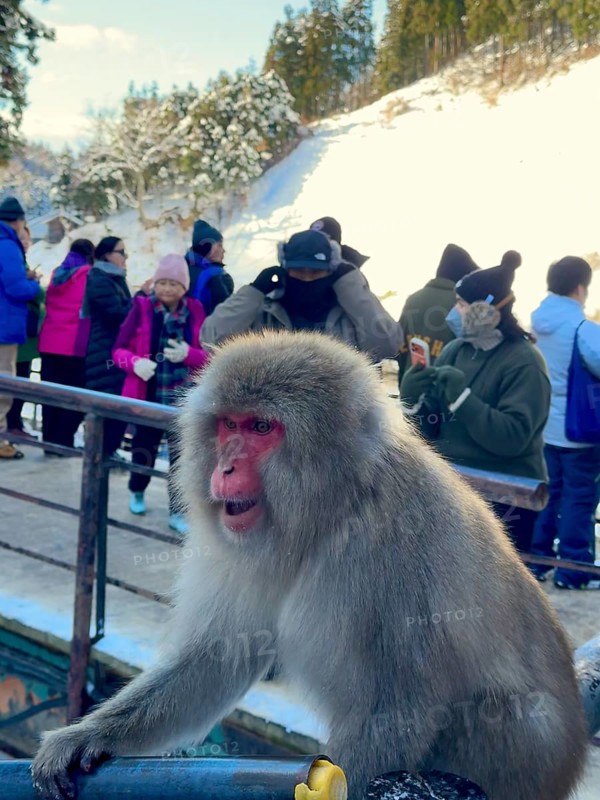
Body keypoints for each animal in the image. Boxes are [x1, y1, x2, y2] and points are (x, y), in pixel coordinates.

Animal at [31, 330, 587, 800]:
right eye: (229, 424)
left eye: (262, 428)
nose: (224, 466)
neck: (333, 509)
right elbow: (219, 654)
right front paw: (87, 736)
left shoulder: (392, 547)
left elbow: (395, 711)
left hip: (513, 753)